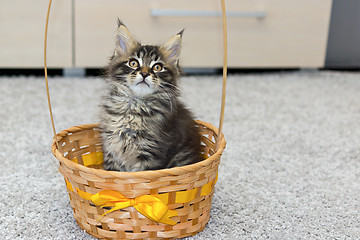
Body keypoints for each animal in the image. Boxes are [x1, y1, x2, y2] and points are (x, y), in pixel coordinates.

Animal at [98, 19, 202, 172]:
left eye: (157, 67)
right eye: (133, 63)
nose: (145, 73)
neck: (135, 105)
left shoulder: (151, 152)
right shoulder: (112, 149)